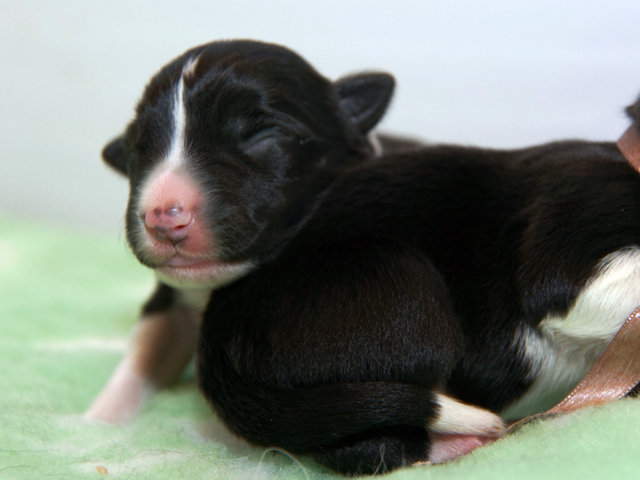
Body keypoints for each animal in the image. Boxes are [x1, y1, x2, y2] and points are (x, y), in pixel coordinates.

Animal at [90, 39, 640, 475]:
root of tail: (220, 344)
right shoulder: (564, 250)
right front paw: (103, 417)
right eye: (139, 150)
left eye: (261, 134)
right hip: (402, 291)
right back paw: (459, 442)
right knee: (367, 441)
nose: (164, 215)